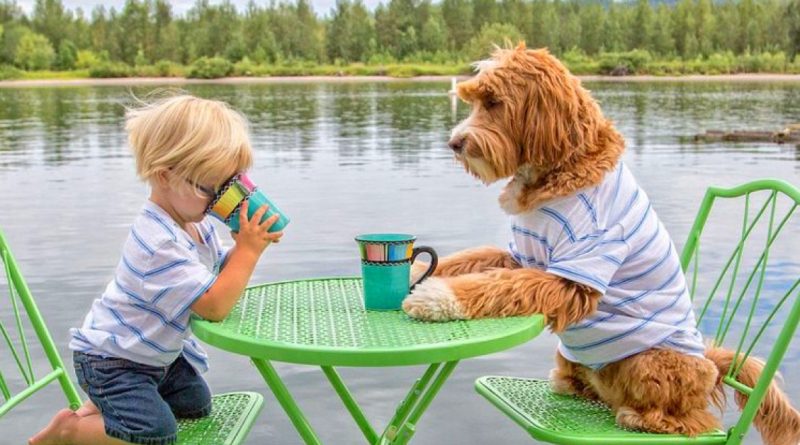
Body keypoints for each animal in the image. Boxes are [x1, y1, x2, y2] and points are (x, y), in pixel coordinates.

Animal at [406, 42, 800, 444]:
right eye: (473, 101)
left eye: (493, 102)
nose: (454, 143)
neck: (559, 169)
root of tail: (712, 365)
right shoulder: (521, 256)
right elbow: (474, 259)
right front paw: (419, 269)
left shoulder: (573, 274)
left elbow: (501, 285)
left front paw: (436, 297)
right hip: (575, 355)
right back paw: (573, 384)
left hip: (651, 362)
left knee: (693, 420)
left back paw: (640, 417)